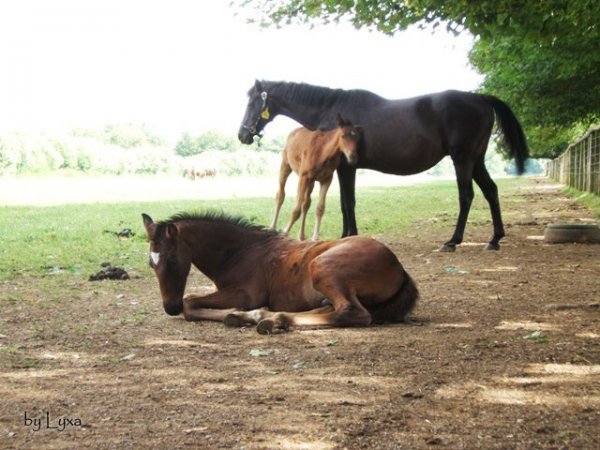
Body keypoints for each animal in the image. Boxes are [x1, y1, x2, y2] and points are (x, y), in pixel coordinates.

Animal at [143, 212, 420, 334]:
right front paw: (239, 315)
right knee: (329, 308)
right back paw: (265, 317)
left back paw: (272, 319)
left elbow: (190, 302)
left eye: (172, 258)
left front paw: (238, 314)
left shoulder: (247, 294)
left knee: (351, 312)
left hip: (322, 267)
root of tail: (399, 267)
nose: (170, 307)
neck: (240, 251)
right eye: (150, 263)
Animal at [237, 79, 528, 251]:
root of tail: (481, 98)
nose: (242, 135)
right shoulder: (343, 169)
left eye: (253, 101)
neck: (332, 111)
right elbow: (345, 202)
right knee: (491, 191)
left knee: (466, 195)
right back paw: (494, 239)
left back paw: (453, 241)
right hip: (476, 160)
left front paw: (349, 236)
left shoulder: (346, 168)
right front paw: (346, 235)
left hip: (463, 159)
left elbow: (348, 202)